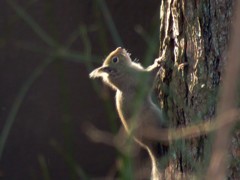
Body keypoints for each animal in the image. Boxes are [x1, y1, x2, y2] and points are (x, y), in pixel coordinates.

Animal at [89, 47, 166, 179]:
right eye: (115, 59)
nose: (120, 48)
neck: (123, 74)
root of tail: (148, 145)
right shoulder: (139, 80)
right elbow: (150, 78)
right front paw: (159, 61)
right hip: (153, 116)